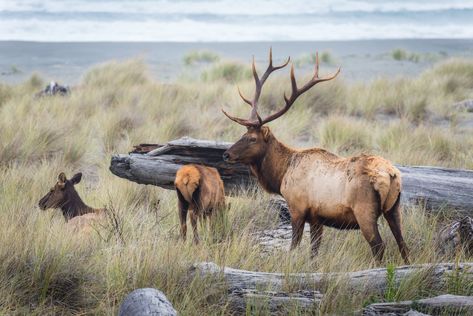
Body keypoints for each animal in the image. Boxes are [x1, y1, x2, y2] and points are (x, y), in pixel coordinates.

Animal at [221, 49, 410, 264]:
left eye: (252, 138)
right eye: (242, 134)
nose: (226, 154)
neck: (282, 174)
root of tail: (391, 174)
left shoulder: (297, 208)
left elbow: (294, 246)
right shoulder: (317, 217)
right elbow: (314, 251)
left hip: (365, 211)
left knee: (379, 246)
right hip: (394, 209)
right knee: (404, 245)